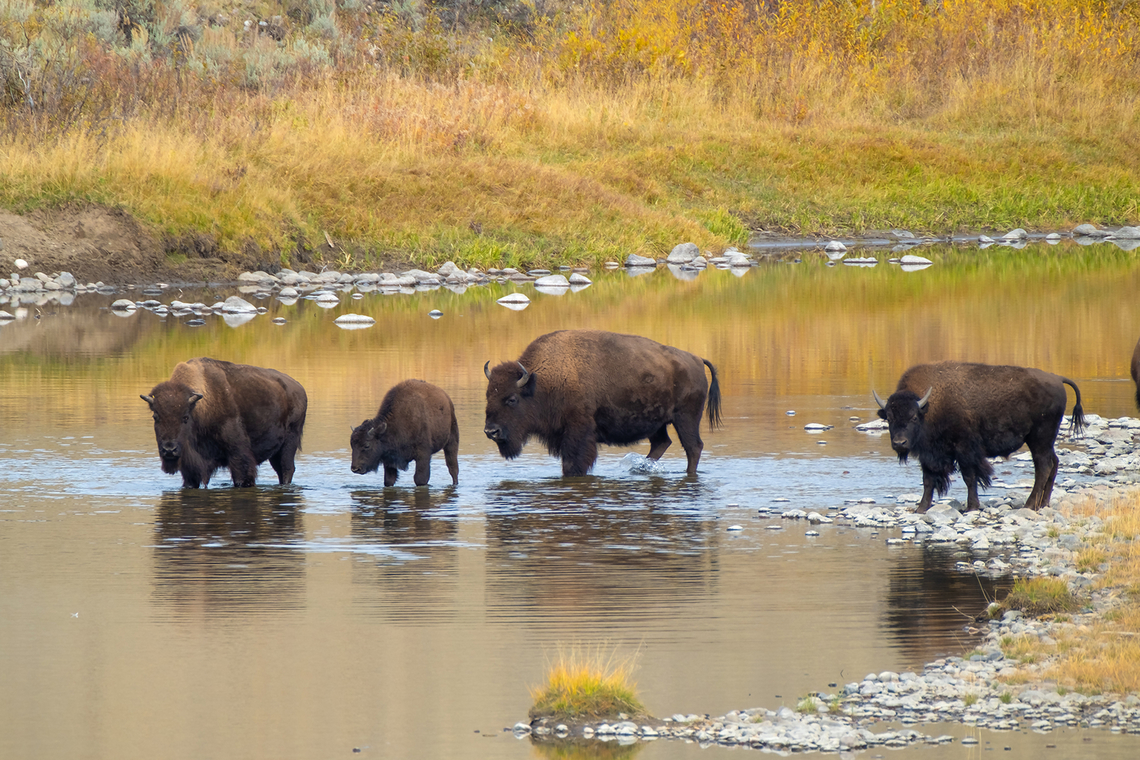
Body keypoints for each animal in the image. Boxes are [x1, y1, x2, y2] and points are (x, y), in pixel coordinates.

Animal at [141, 358, 308, 488]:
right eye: (155, 416)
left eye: (185, 417)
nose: (169, 450)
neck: (199, 408)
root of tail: (299, 388)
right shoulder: (191, 469)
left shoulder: (238, 456)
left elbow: (242, 477)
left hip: (289, 443)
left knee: (286, 469)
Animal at [483, 330, 722, 476]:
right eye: (488, 396)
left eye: (512, 399)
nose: (491, 431)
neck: (543, 381)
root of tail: (697, 359)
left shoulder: (577, 433)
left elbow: (572, 464)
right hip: (657, 423)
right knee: (662, 443)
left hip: (686, 419)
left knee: (693, 447)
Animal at [874, 361, 1085, 513]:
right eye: (889, 418)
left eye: (914, 417)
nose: (899, 443)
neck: (930, 407)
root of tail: (1057, 378)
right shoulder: (929, 455)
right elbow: (928, 480)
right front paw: (921, 508)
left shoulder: (965, 450)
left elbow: (969, 478)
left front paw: (972, 507)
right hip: (1046, 442)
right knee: (1053, 464)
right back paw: (1043, 504)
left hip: (1039, 440)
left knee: (1043, 467)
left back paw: (1030, 505)